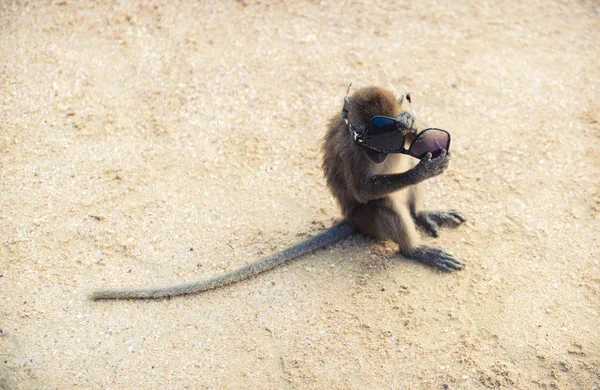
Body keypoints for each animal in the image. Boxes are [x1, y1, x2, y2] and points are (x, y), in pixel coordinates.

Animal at [89, 86, 464, 302]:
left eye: (386, 137)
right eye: (366, 141)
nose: (377, 155)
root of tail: (349, 219)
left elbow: (416, 140)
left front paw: (412, 123)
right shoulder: (351, 150)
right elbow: (362, 188)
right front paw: (421, 170)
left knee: (406, 188)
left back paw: (422, 213)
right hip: (365, 217)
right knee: (385, 205)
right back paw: (415, 249)